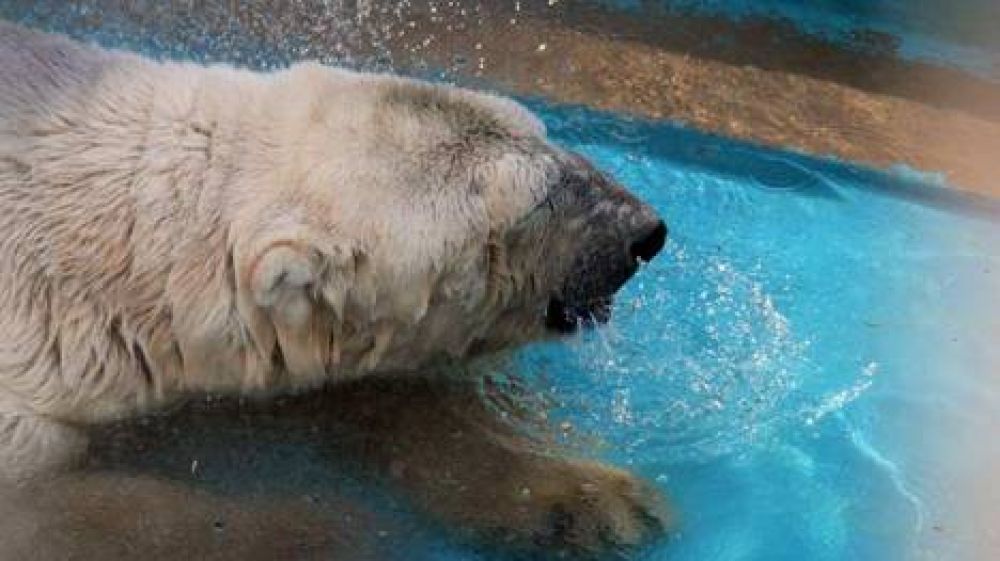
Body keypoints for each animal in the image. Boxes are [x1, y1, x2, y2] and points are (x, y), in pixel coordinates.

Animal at [0, 20, 669, 558]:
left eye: (545, 134)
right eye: (533, 203)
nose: (645, 232)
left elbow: (375, 391)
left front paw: (591, 501)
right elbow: (69, 513)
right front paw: (324, 527)